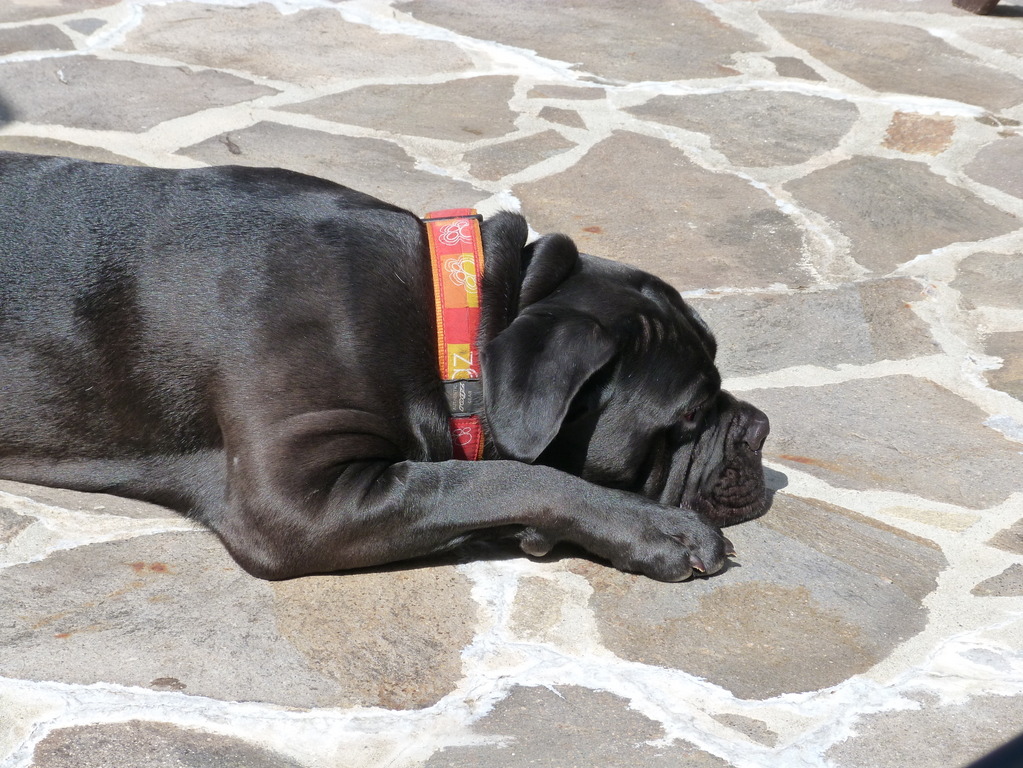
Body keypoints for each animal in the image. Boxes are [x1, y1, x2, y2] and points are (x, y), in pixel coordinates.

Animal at [0, 151, 770, 582]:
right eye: (688, 414)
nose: (759, 428)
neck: (452, 320)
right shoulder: (295, 501)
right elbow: (488, 476)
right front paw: (653, 529)